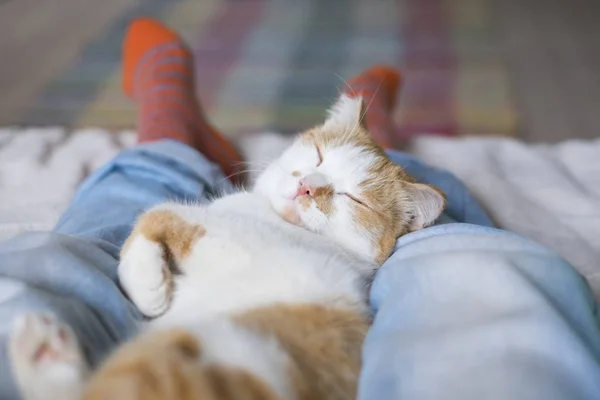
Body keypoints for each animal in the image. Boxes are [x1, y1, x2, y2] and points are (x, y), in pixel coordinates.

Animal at [7, 94, 442, 400]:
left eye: (354, 199)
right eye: (319, 155)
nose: (307, 186)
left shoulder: (219, 238)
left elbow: (157, 211)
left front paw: (147, 286)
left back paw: (39, 350)